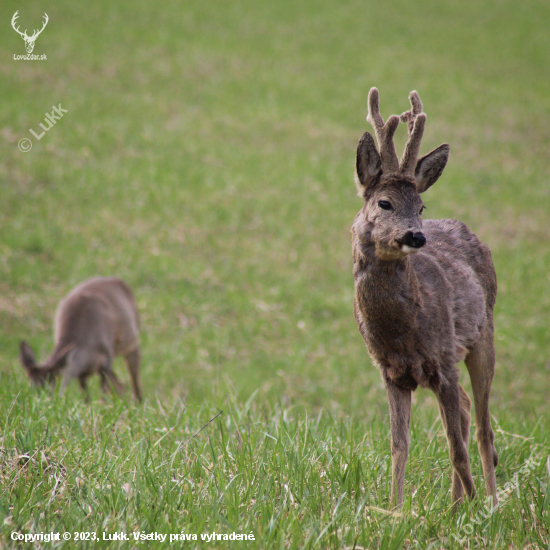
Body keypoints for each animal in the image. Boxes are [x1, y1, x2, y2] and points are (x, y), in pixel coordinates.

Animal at [354, 89, 500, 508]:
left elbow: (456, 448)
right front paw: (394, 510)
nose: (415, 236)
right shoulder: (391, 372)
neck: (401, 332)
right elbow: (398, 445)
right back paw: (455, 505)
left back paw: (490, 501)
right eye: (384, 203)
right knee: (467, 413)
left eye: (420, 206)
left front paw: (476, 510)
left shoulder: (444, 360)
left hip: (483, 337)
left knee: (482, 429)